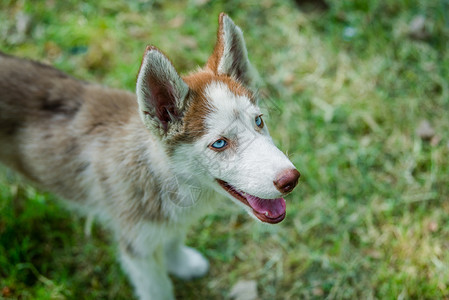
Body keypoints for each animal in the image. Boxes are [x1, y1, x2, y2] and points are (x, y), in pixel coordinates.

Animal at [1, 12, 300, 298]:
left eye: (259, 121)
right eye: (219, 144)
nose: (292, 179)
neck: (162, 177)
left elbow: (173, 239)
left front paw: (180, 263)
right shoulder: (138, 248)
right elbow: (158, 289)